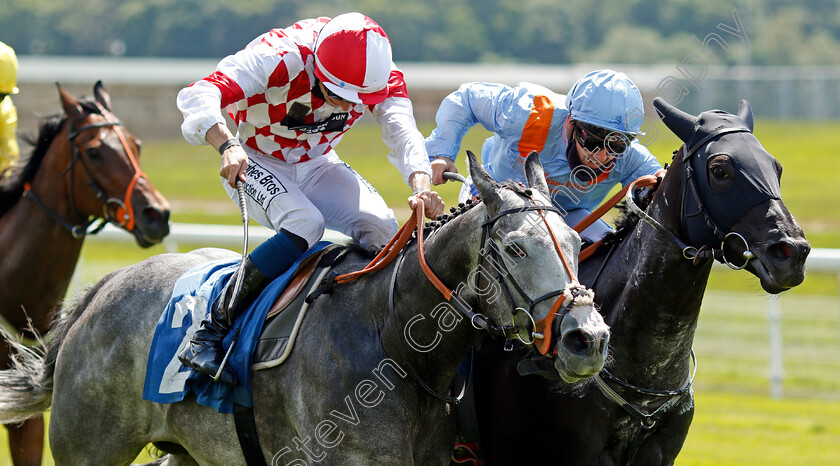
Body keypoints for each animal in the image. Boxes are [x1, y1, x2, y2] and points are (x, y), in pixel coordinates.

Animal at [0, 152, 608, 462]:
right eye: (516, 248)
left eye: (576, 242)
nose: (589, 338)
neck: (394, 343)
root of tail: (102, 289)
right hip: (89, 449)